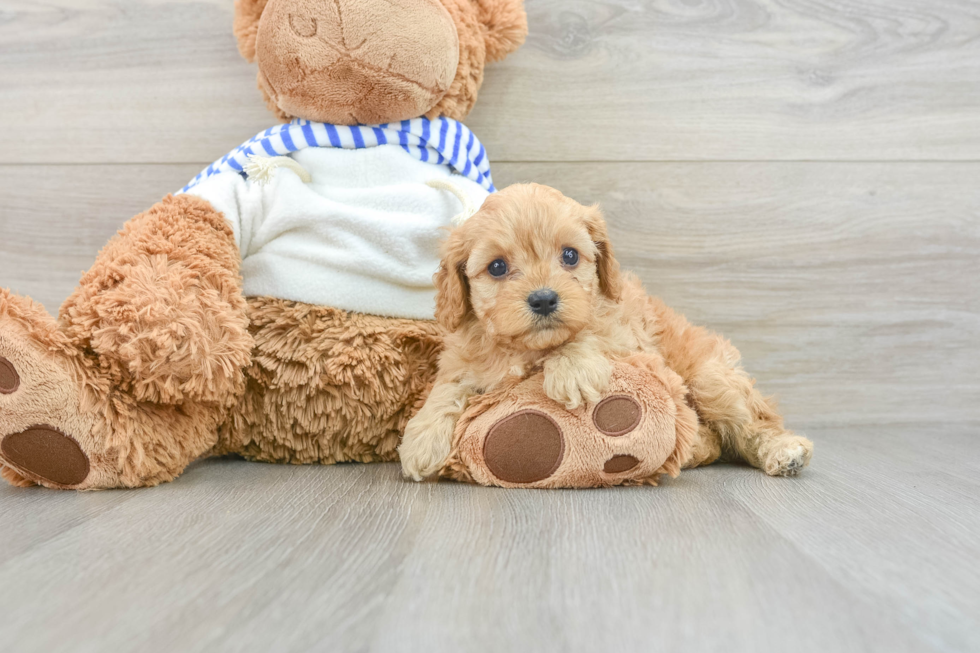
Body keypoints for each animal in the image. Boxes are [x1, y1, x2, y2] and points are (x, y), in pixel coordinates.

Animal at [396, 182, 812, 478]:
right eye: (497, 267)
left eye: (569, 256)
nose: (544, 300)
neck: (528, 349)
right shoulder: (464, 358)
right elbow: (448, 387)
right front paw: (422, 438)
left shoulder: (628, 338)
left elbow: (589, 333)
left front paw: (572, 370)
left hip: (712, 380)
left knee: (754, 423)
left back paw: (783, 451)